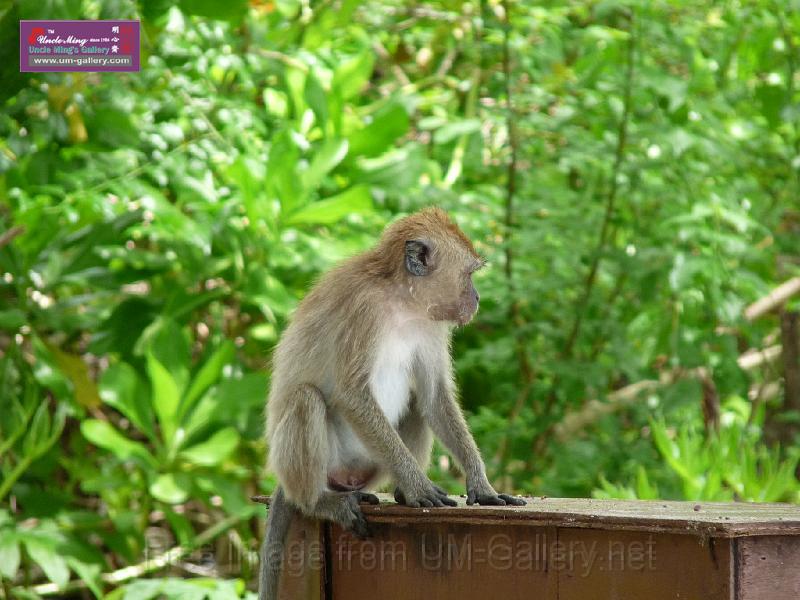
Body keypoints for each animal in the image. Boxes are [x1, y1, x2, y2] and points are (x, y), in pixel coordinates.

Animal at [260, 207, 528, 600]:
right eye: (469, 274)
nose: (477, 298)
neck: (402, 303)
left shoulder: (431, 323)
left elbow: (434, 396)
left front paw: (482, 486)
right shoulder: (362, 310)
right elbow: (352, 395)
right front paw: (420, 487)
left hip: (370, 469)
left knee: (417, 405)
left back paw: (400, 494)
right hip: (317, 465)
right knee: (306, 399)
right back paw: (319, 502)